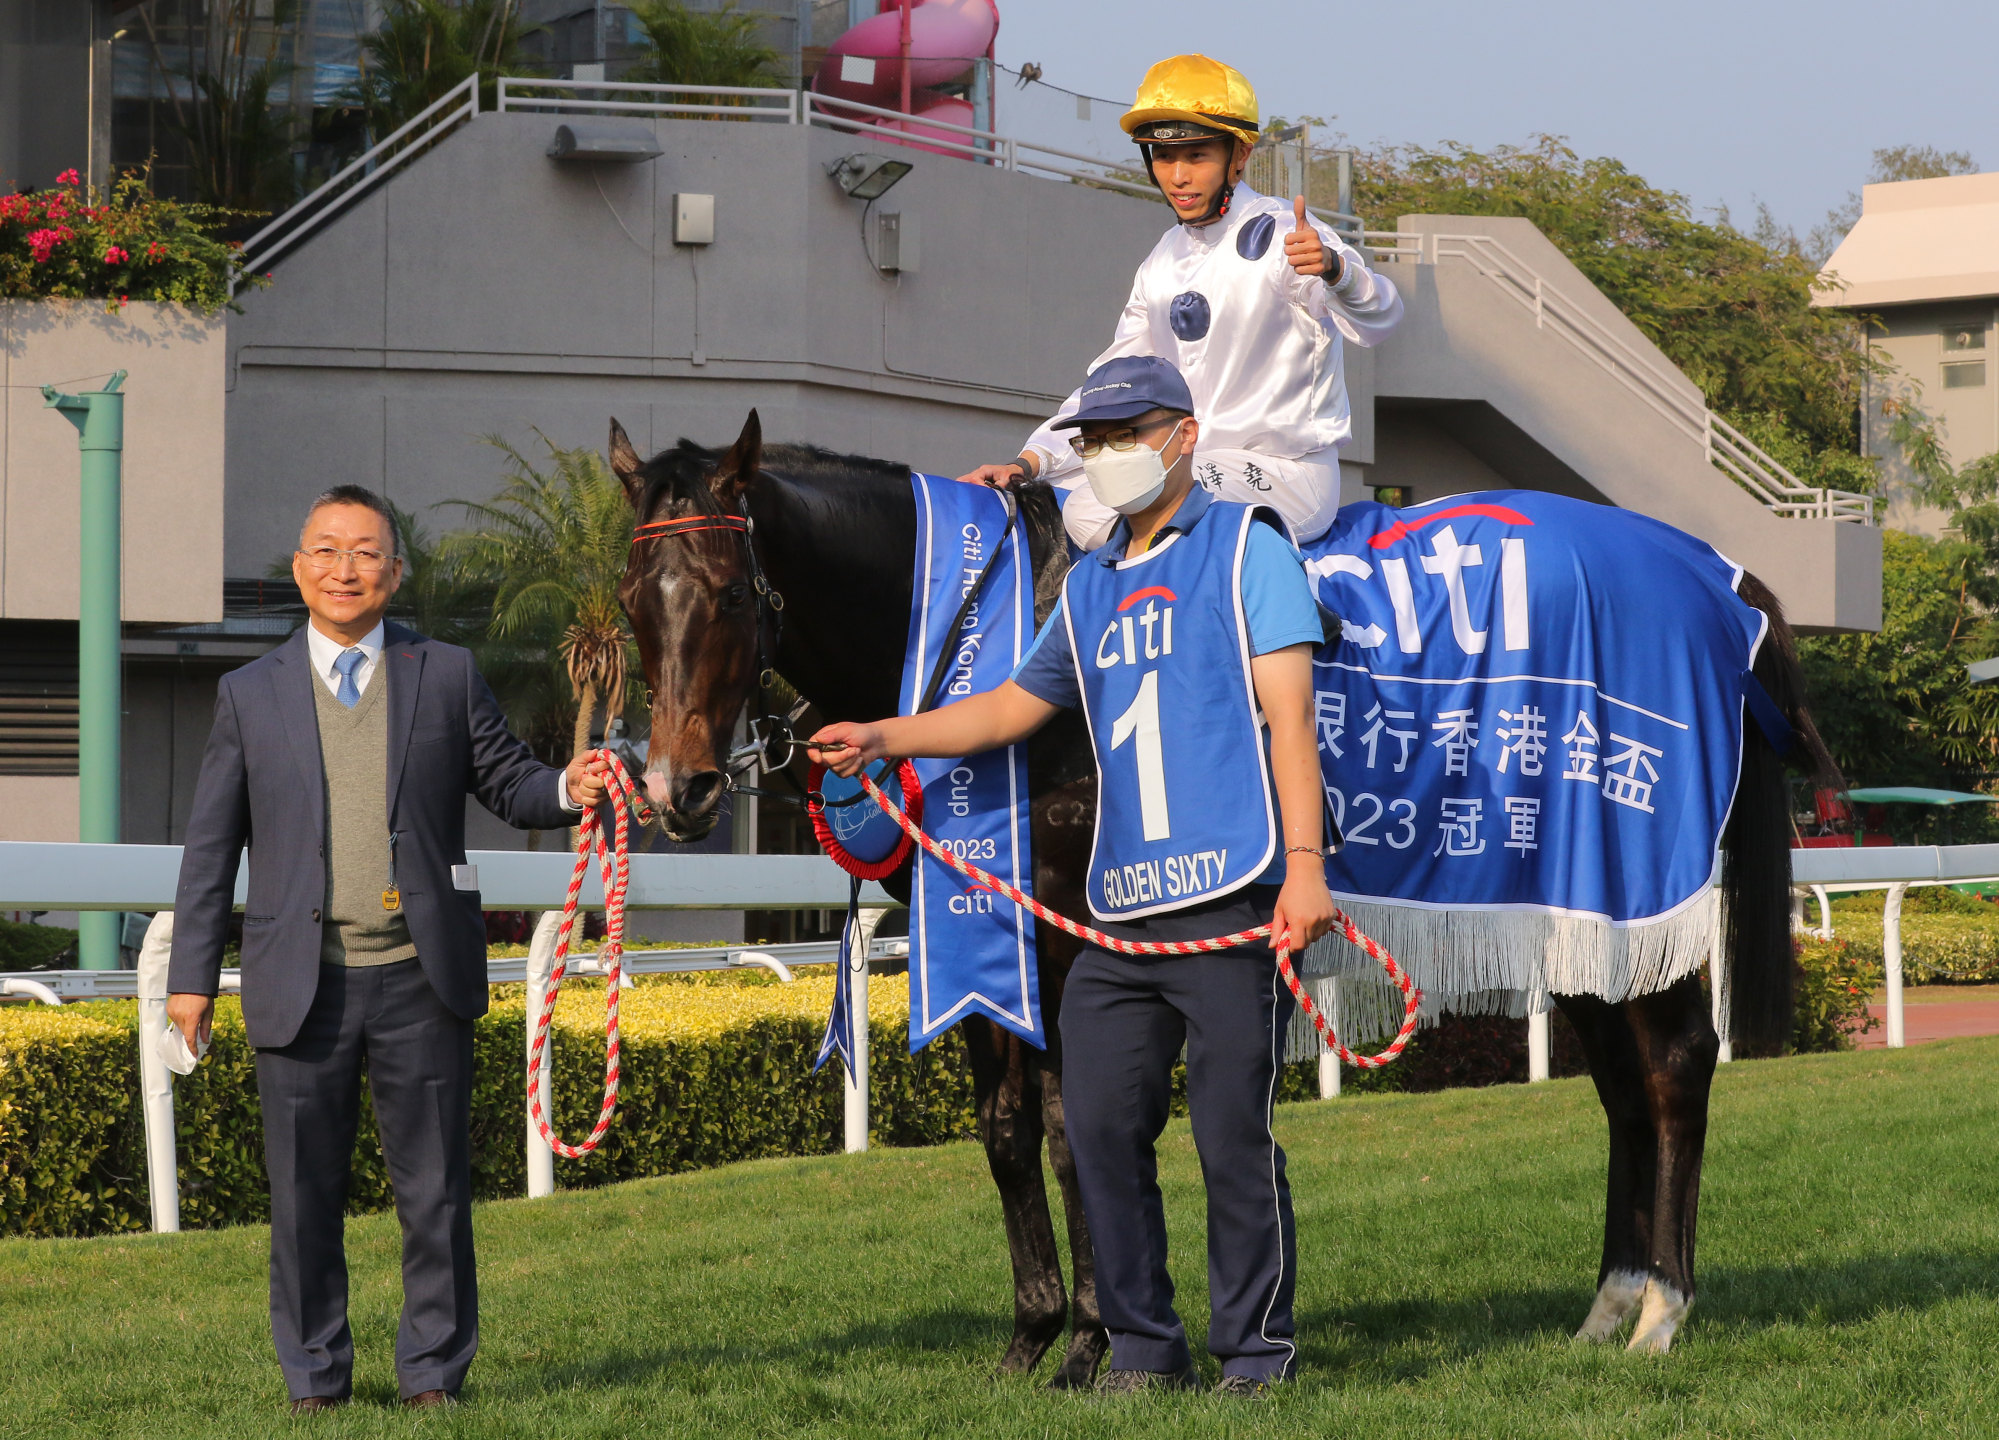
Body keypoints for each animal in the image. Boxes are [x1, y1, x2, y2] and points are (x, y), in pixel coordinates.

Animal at [603, 408, 1831, 1376]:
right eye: (630, 602)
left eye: (727, 593)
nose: (677, 785)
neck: (991, 633)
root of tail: (1721, 583)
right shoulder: (972, 920)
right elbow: (1003, 1130)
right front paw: (1029, 1336)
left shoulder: (1069, 927)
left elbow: (1071, 1128)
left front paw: (1090, 1340)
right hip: (1569, 908)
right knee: (1623, 1083)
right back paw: (1610, 1302)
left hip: (1635, 875)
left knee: (1673, 1067)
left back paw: (1662, 1310)